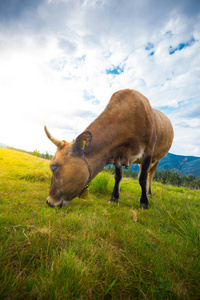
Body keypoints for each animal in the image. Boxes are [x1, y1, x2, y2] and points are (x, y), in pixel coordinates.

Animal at [44, 89, 173, 209]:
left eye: (53, 167)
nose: (49, 201)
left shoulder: (147, 152)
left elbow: (142, 179)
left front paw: (144, 203)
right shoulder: (117, 153)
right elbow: (118, 176)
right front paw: (114, 198)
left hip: (157, 158)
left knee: (150, 175)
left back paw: (149, 194)